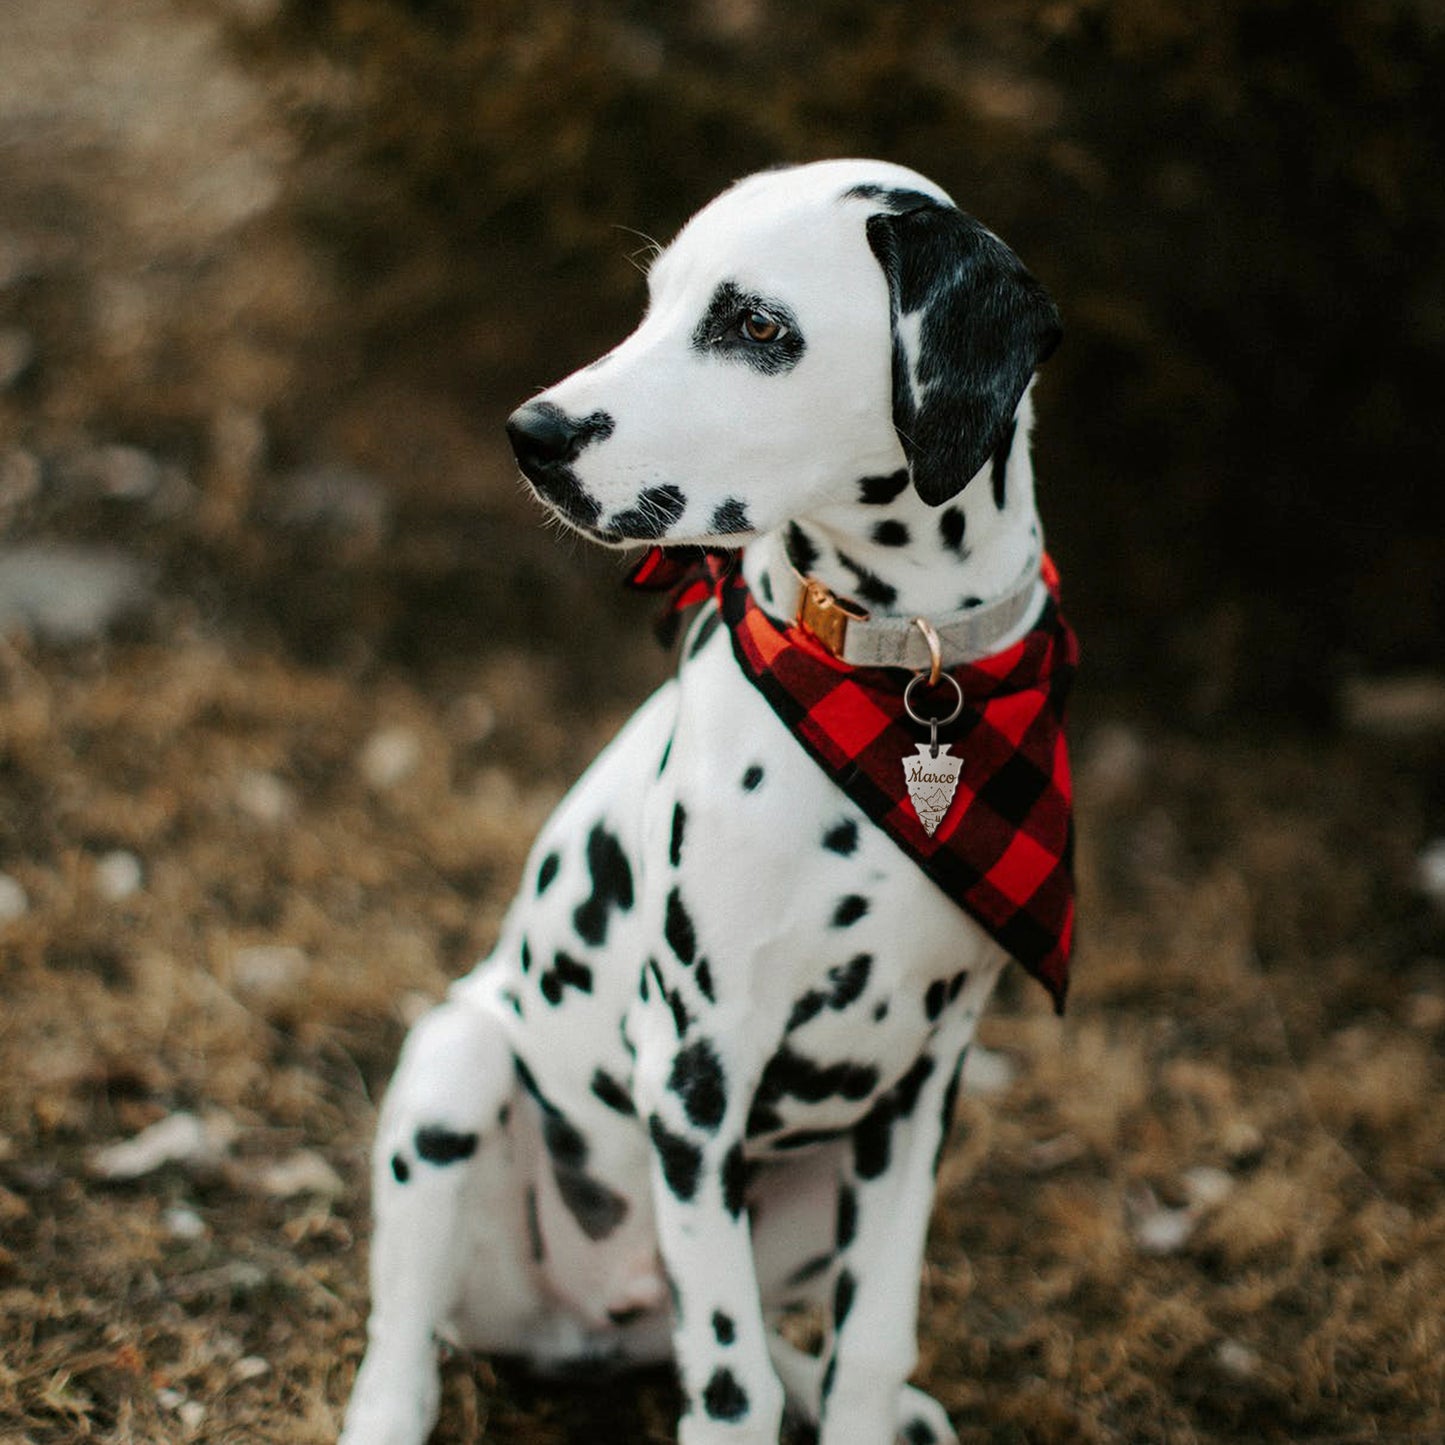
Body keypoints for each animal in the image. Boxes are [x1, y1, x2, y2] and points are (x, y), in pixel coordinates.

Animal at [338, 161, 1063, 1445]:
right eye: (651, 300)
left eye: (756, 326)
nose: (531, 434)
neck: (898, 674)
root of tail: (593, 1318)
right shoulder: (691, 1071)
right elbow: (725, 1386)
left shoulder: (918, 1091)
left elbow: (867, 1342)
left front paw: (864, 1402)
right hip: (454, 1073)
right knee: (403, 1342)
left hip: (807, 1188)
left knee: (779, 1342)